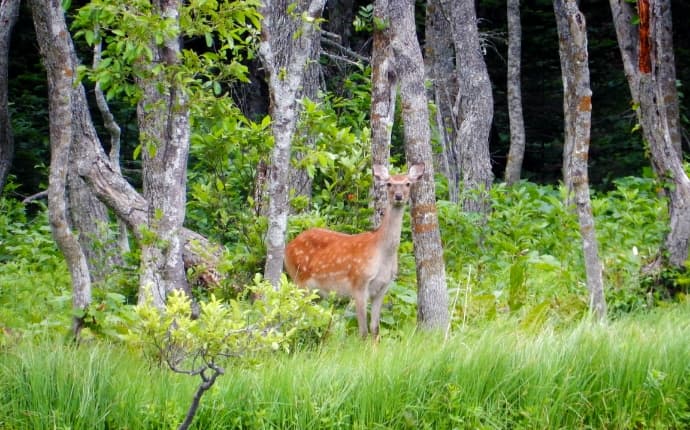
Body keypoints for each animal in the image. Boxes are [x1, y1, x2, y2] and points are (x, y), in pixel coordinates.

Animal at [282, 162, 422, 340]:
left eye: (408, 183)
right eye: (389, 183)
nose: (398, 196)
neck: (383, 255)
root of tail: (288, 247)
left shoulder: (383, 288)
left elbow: (375, 328)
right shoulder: (359, 283)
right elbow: (363, 331)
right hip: (298, 278)